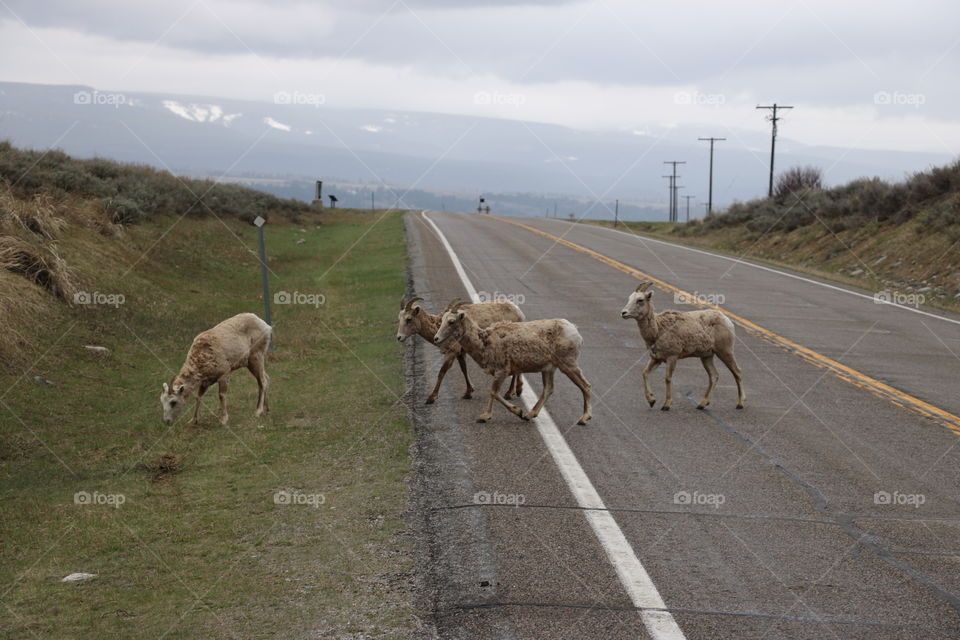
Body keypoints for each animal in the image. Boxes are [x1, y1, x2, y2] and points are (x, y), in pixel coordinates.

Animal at [396, 296, 524, 404]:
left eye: (409, 319)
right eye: (399, 319)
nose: (399, 337)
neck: (438, 326)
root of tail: (519, 312)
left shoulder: (451, 352)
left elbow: (441, 372)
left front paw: (431, 397)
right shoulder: (460, 353)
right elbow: (464, 369)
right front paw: (468, 393)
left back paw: (509, 393)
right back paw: (517, 390)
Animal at [432, 300, 588, 424]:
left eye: (451, 321)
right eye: (442, 320)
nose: (436, 338)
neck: (484, 342)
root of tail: (575, 332)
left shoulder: (502, 371)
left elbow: (493, 392)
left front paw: (488, 416)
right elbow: (495, 393)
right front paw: (517, 413)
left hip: (568, 365)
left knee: (585, 386)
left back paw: (584, 418)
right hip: (548, 369)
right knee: (548, 389)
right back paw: (530, 415)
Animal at [620, 282, 748, 412]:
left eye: (640, 300)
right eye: (630, 298)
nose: (623, 313)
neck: (658, 329)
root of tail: (727, 320)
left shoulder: (672, 357)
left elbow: (667, 378)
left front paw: (666, 405)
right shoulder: (656, 358)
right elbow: (645, 373)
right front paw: (651, 401)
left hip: (725, 351)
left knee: (737, 372)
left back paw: (740, 404)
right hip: (706, 356)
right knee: (714, 376)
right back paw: (702, 404)